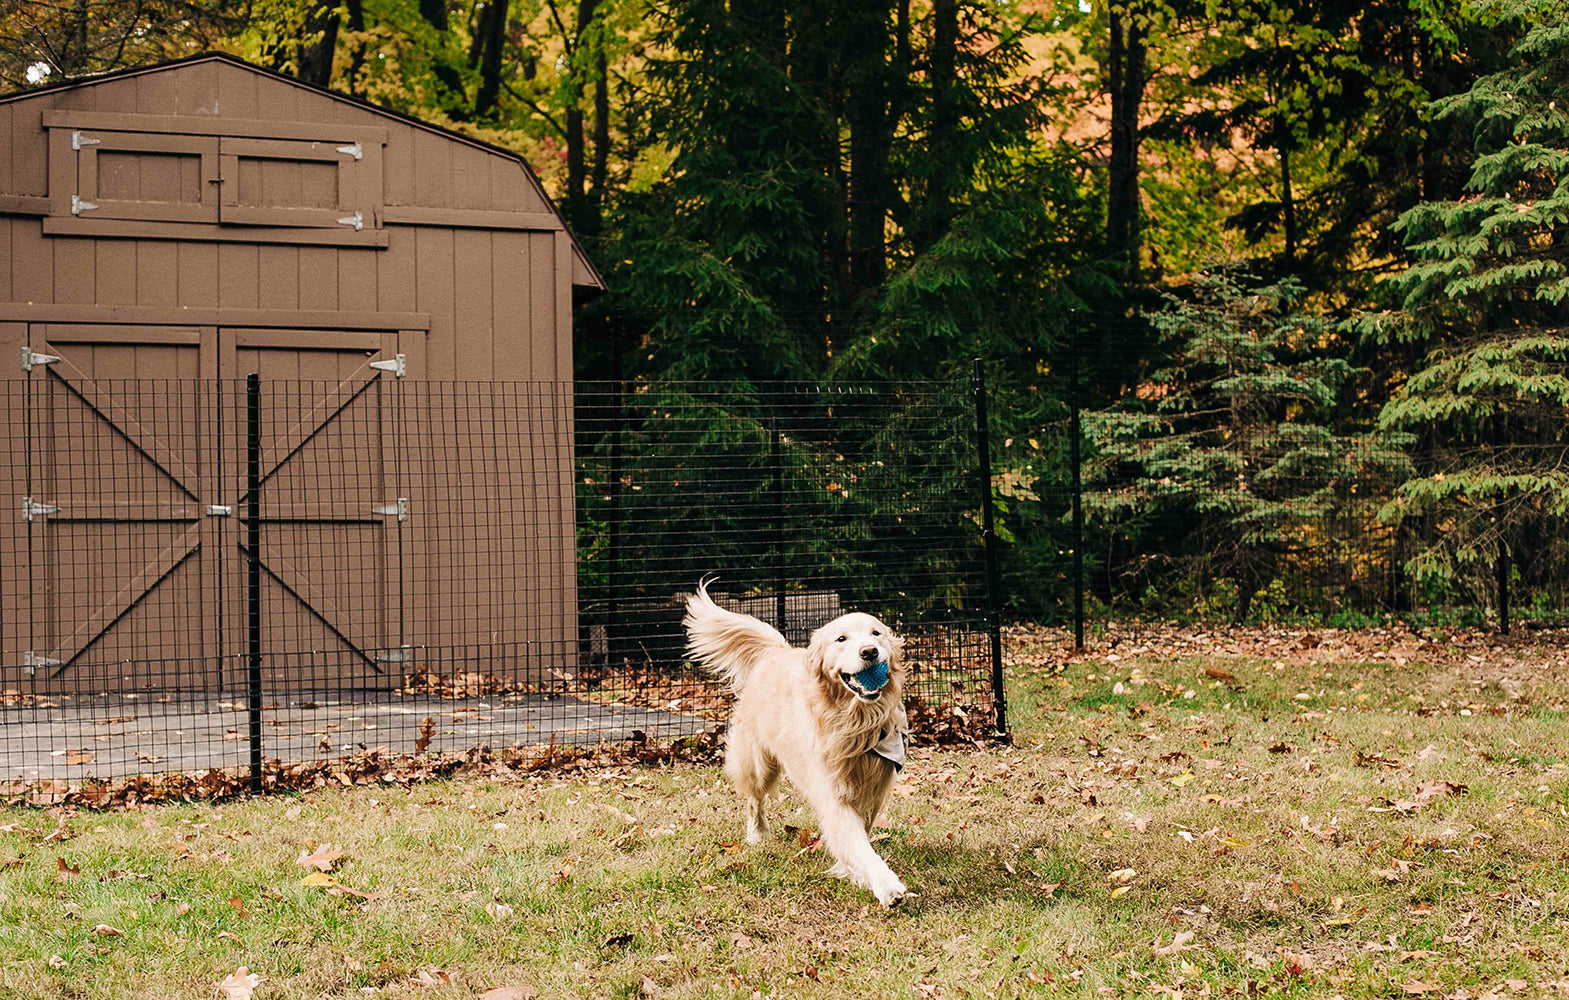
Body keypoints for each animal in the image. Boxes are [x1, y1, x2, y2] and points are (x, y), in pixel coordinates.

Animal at [680, 577, 916, 904]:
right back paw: (757, 834)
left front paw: (853, 873)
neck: (856, 721)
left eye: (876, 633)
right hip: (758, 764)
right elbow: (859, 845)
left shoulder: (874, 789)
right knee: (754, 800)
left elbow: (862, 835)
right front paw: (886, 884)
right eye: (841, 639)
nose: (869, 652)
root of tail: (775, 650)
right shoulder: (834, 795)